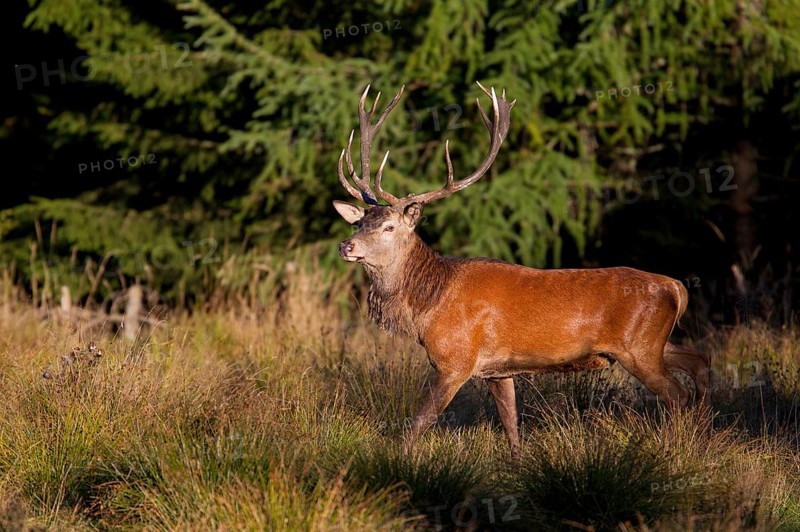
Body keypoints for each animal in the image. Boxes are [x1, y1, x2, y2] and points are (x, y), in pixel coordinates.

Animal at [333, 82, 710, 458]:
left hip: (639, 347)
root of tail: (676, 287)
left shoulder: (456, 360)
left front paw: (400, 461)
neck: (428, 306)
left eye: (389, 227)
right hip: (655, 343)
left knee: (677, 394)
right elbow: (511, 426)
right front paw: (517, 463)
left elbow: (420, 421)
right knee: (700, 360)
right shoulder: (497, 370)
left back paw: (674, 446)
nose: (345, 246)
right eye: (360, 223)